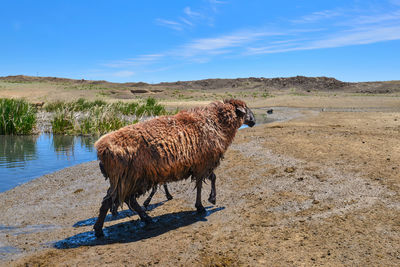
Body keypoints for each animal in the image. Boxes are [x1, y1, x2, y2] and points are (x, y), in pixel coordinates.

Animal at [94, 99, 255, 238]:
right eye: (246, 109)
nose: (253, 121)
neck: (216, 122)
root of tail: (101, 148)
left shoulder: (199, 165)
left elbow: (202, 183)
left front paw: (204, 203)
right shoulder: (204, 163)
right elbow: (208, 181)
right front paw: (208, 202)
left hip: (129, 179)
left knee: (125, 200)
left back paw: (144, 219)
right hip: (128, 178)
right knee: (112, 201)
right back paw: (100, 230)